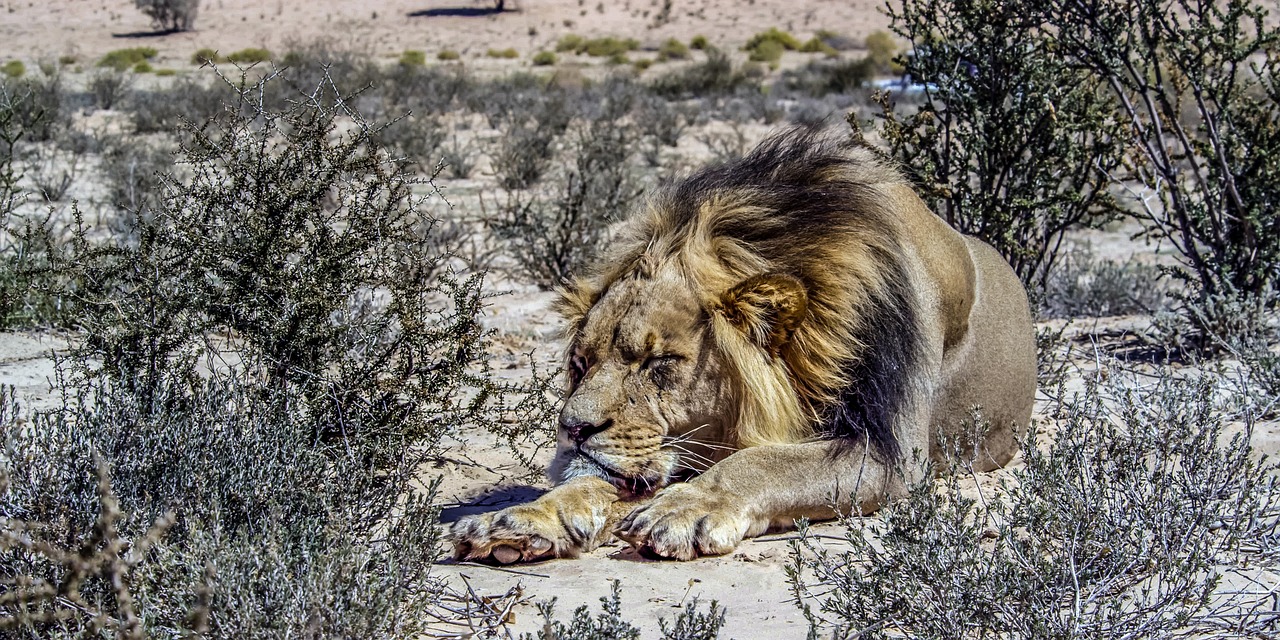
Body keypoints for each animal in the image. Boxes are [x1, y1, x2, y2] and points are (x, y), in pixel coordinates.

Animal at [455, 126, 1034, 565]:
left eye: (659, 362)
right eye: (580, 364)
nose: (572, 430)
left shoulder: (889, 452)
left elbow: (765, 461)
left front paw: (685, 508)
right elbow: (603, 482)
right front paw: (524, 517)